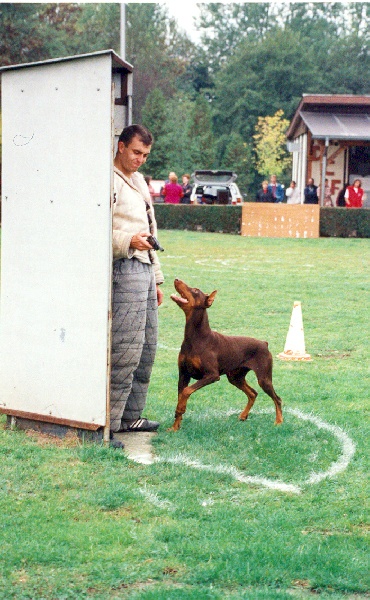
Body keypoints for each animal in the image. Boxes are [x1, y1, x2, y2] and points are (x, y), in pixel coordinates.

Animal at [171, 278, 284, 428]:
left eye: (195, 290)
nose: (176, 279)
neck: (195, 337)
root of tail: (264, 343)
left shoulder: (212, 375)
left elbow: (186, 391)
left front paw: (180, 410)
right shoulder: (183, 375)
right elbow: (181, 395)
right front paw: (174, 427)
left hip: (264, 378)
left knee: (277, 398)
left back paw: (279, 421)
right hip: (235, 377)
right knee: (253, 393)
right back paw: (243, 415)